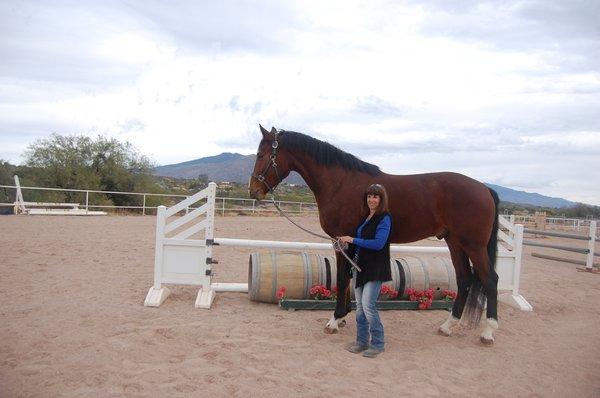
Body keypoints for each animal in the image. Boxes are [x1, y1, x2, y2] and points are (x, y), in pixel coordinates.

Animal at [248, 126, 502, 344]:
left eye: (260, 155)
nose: (254, 191)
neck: (339, 183)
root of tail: (484, 188)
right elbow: (346, 279)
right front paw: (342, 317)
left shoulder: (344, 241)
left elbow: (342, 279)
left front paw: (335, 320)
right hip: (455, 242)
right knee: (464, 279)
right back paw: (448, 325)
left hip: (474, 245)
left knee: (490, 279)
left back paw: (488, 332)